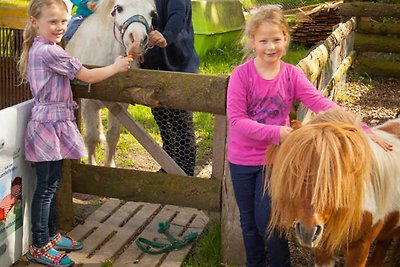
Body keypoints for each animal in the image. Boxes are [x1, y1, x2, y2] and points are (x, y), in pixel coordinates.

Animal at [65, 0, 155, 168]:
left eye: (153, 13)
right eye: (119, 8)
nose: (137, 40)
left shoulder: (119, 106)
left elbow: (113, 137)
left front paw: (109, 165)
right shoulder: (88, 103)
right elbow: (91, 137)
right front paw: (92, 164)